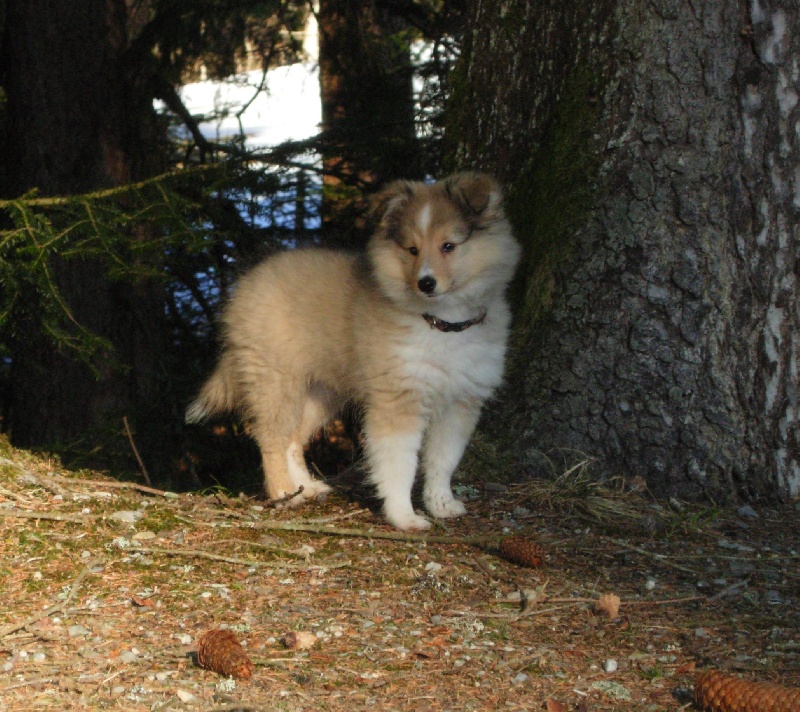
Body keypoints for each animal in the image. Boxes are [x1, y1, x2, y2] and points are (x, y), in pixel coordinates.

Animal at [190, 172, 520, 528]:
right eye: (412, 249)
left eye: (449, 246)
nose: (426, 283)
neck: (442, 323)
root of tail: (243, 288)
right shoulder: (398, 400)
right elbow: (400, 465)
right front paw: (404, 517)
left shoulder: (459, 403)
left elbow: (443, 461)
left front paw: (442, 504)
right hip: (276, 381)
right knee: (270, 438)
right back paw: (282, 492)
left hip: (321, 393)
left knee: (293, 438)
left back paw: (307, 487)